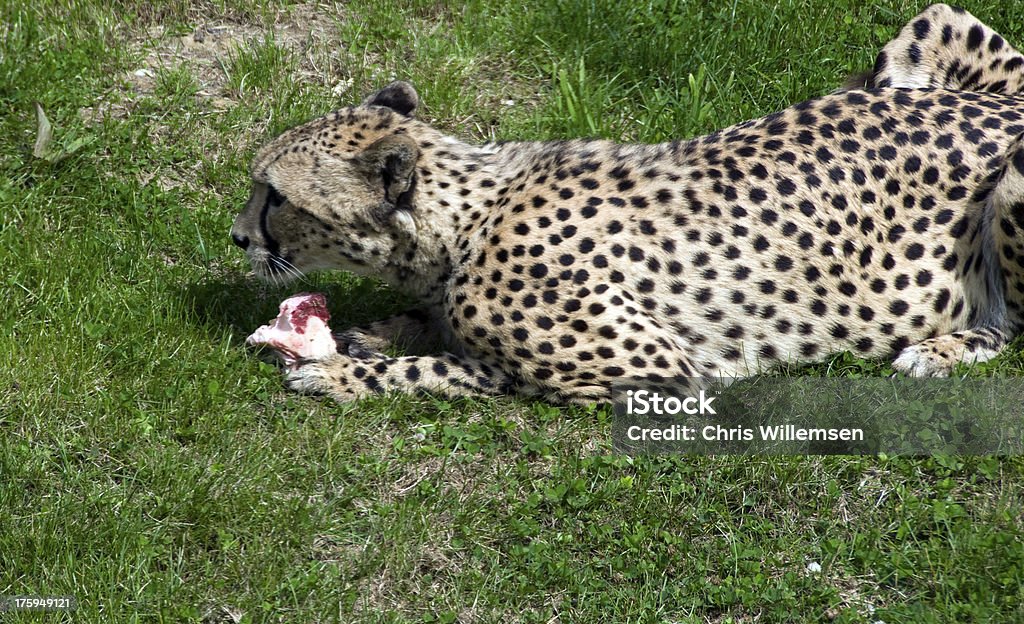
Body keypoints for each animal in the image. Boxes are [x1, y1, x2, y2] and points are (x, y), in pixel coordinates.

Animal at [230, 3, 1024, 403]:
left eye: (274, 196)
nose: (238, 237)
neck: (466, 219)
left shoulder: (652, 367)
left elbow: (452, 369)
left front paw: (341, 371)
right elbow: (428, 328)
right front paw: (379, 331)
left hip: (1012, 186)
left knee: (1012, 326)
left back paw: (942, 349)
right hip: (923, 35)